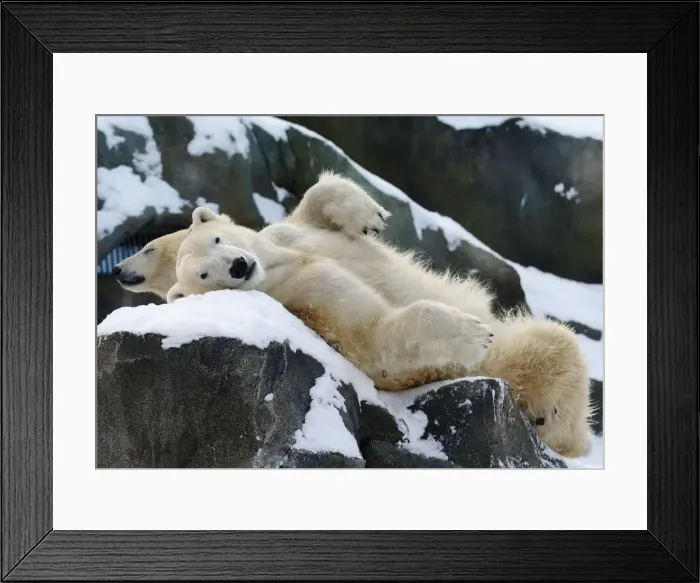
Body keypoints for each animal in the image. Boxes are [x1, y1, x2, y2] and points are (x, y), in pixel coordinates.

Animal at [167, 171, 593, 458]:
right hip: (504, 365)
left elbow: (311, 205)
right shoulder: (308, 297)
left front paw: (369, 215)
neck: (277, 268)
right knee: (552, 351)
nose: (238, 266)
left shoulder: (286, 238)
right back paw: (558, 428)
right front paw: (472, 331)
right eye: (204, 277)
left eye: (216, 240)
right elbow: (376, 337)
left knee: (556, 342)